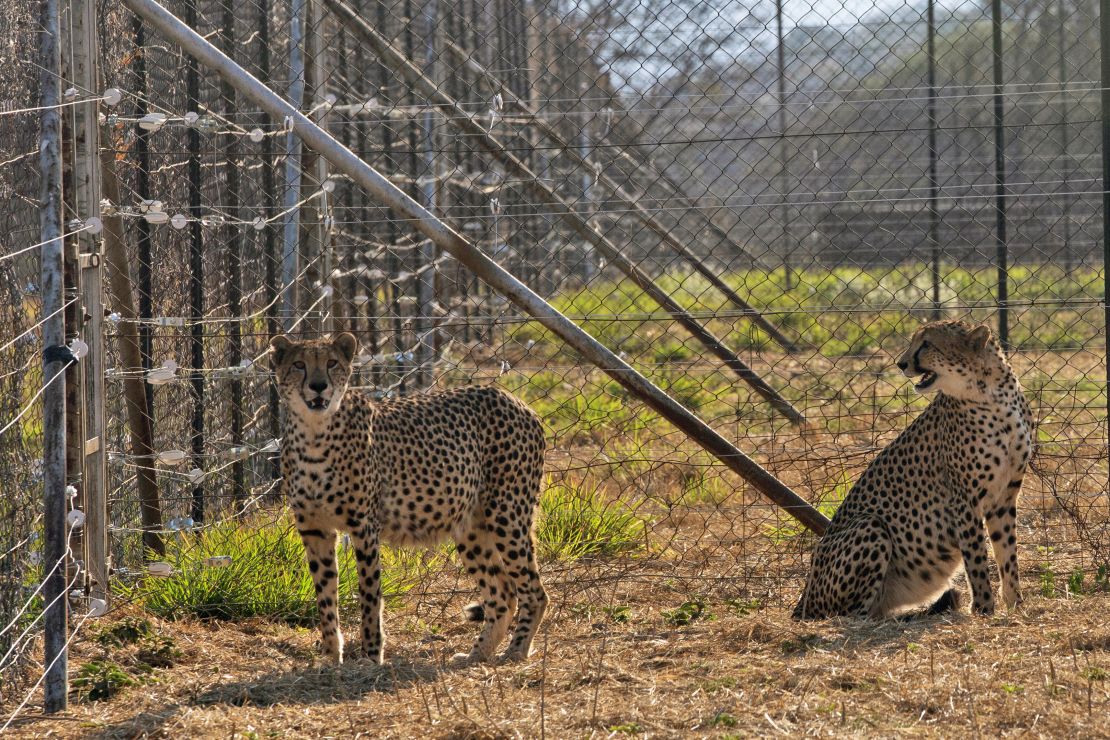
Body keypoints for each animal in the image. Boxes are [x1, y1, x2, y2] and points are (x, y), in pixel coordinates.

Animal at [268, 335, 546, 665]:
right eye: (299, 364)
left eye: (331, 363)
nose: (319, 385)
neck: (314, 431)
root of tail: (511, 398)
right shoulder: (314, 529)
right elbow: (325, 596)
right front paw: (331, 658)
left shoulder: (364, 527)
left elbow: (369, 596)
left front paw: (371, 656)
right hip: (470, 527)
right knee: (502, 592)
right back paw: (475, 655)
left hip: (507, 515)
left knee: (534, 591)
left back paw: (516, 651)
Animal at [794, 321, 1034, 621]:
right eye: (914, 341)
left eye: (927, 343)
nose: (901, 363)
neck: (993, 394)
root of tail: (803, 598)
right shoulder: (964, 500)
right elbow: (977, 559)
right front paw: (983, 609)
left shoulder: (1004, 496)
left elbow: (1007, 553)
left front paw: (1016, 605)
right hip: (870, 525)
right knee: (852, 614)